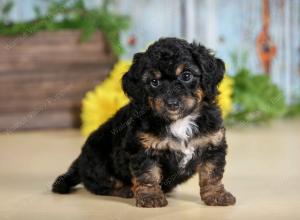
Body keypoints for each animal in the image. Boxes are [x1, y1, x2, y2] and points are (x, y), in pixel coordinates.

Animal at [51, 37, 236, 208]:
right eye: (154, 82)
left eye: (186, 75)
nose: (172, 103)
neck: (179, 121)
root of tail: (80, 161)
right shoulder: (143, 149)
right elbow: (148, 174)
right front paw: (151, 197)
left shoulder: (212, 144)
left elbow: (211, 173)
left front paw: (216, 195)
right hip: (98, 161)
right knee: (100, 185)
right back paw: (126, 190)